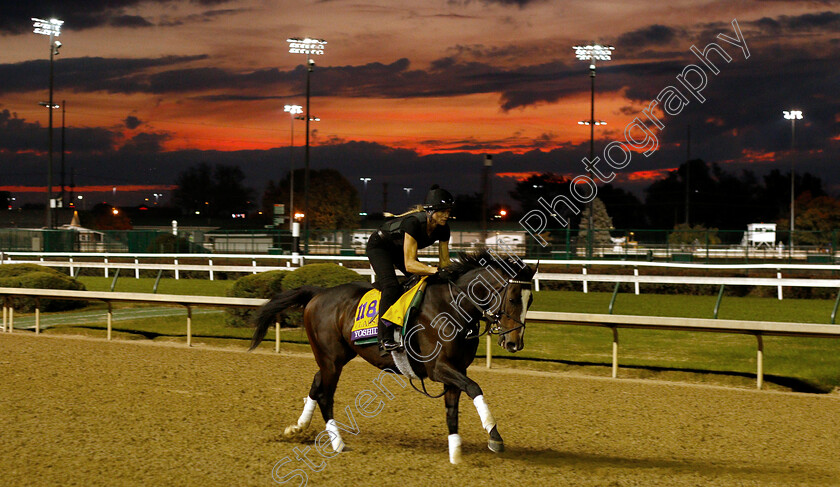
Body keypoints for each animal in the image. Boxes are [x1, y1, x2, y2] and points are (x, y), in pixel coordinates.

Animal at [251, 250, 540, 464]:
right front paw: (494, 436)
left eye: (531, 300)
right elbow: (474, 388)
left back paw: (298, 428)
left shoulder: (456, 368)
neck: (452, 307)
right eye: (513, 298)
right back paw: (338, 444)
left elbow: (453, 410)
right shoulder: (438, 368)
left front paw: (455, 454)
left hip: (335, 356)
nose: (514, 343)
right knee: (325, 395)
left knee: (316, 382)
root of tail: (318, 293)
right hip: (331, 359)